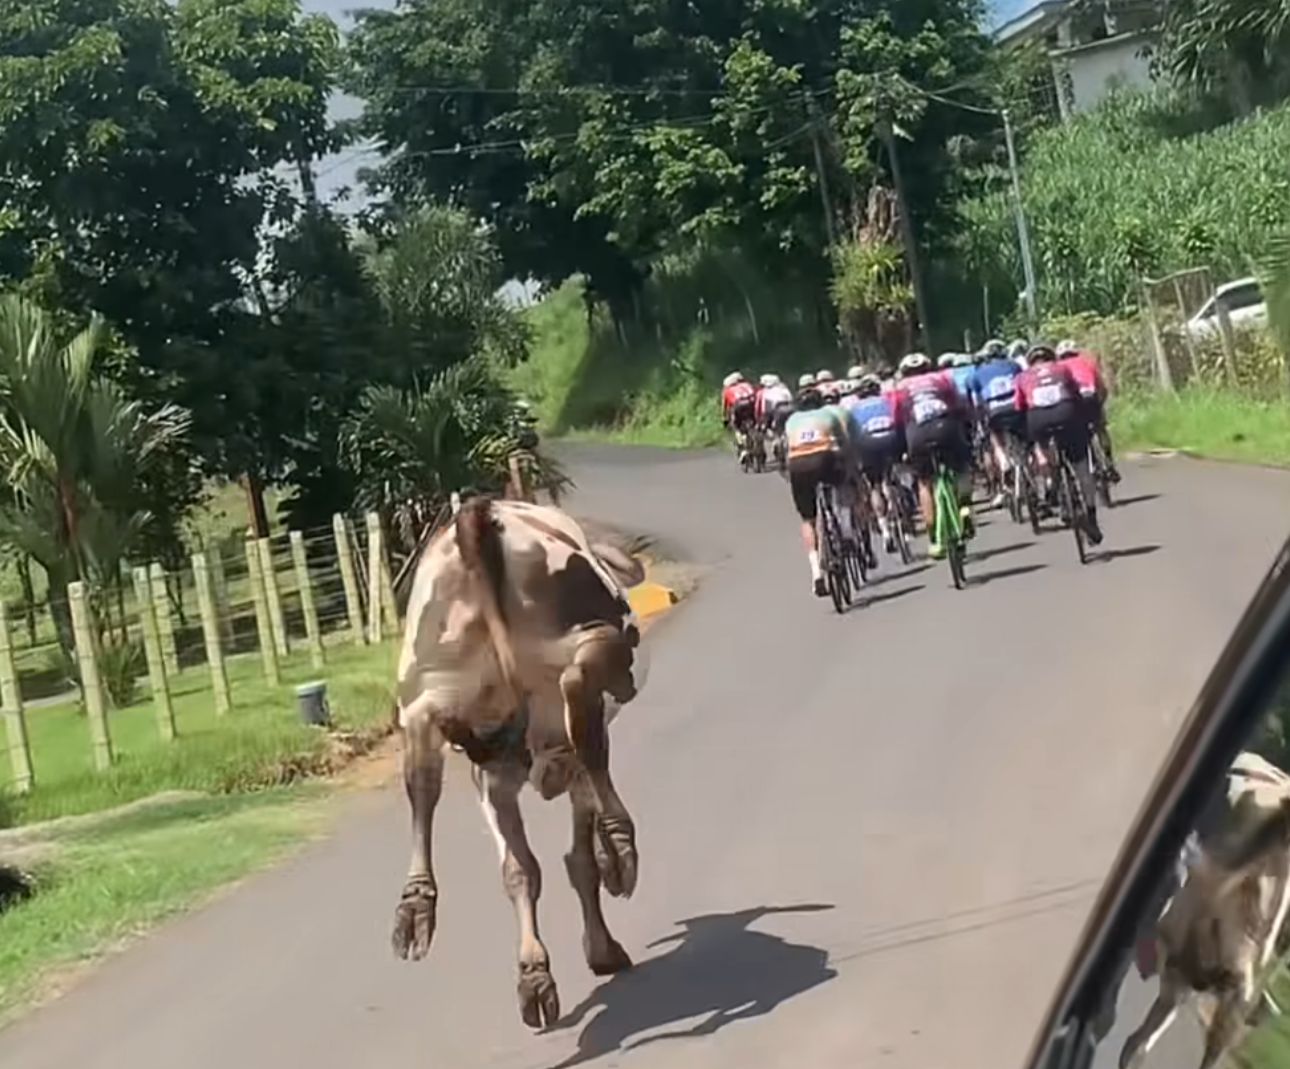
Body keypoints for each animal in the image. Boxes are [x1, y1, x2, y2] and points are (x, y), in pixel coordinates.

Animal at [381, 495, 645, 1031]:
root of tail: (479, 515)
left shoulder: (493, 777)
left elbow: (520, 871)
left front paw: (535, 979)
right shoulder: (566, 760)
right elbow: (579, 861)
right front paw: (603, 945)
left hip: (424, 684)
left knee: (421, 775)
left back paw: (416, 906)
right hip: (589, 641)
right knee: (577, 683)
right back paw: (621, 838)